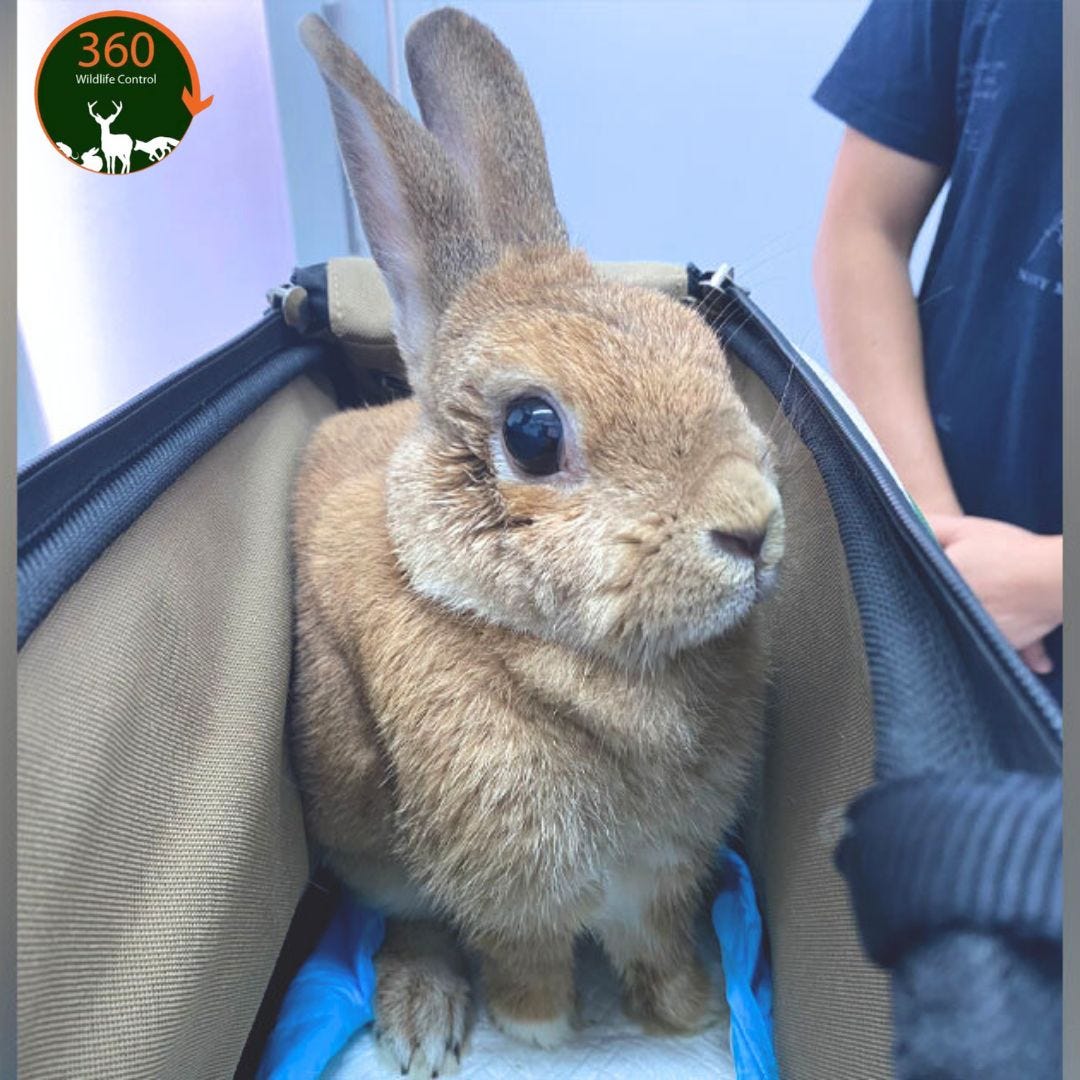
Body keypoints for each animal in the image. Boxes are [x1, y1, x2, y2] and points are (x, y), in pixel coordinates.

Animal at [292, 9, 785, 1077]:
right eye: (531, 432)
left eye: (703, 349)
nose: (753, 525)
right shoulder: (514, 896)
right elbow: (524, 965)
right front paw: (543, 1033)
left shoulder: (663, 877)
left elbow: (661, 946)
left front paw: (688, 1013)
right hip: (357, 815)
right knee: (407, 922)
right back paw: (425, 1020)